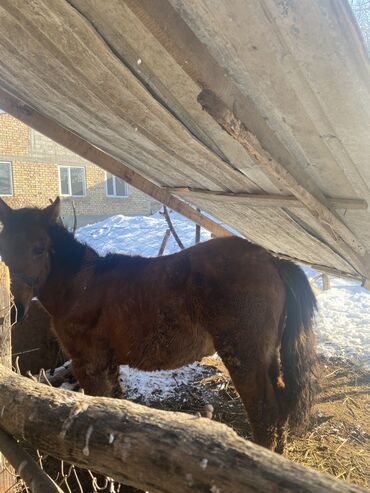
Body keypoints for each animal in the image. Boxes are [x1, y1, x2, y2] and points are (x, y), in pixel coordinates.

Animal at [0, 198, 318, 452]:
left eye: (39, 249)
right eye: (3, 250)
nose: (14, 310)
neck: (81, 287)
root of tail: (271, 260)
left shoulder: (88, 365)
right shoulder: (108, 364)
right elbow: (116, 403)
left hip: (244, 358)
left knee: (265, 412)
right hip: (266, 356)